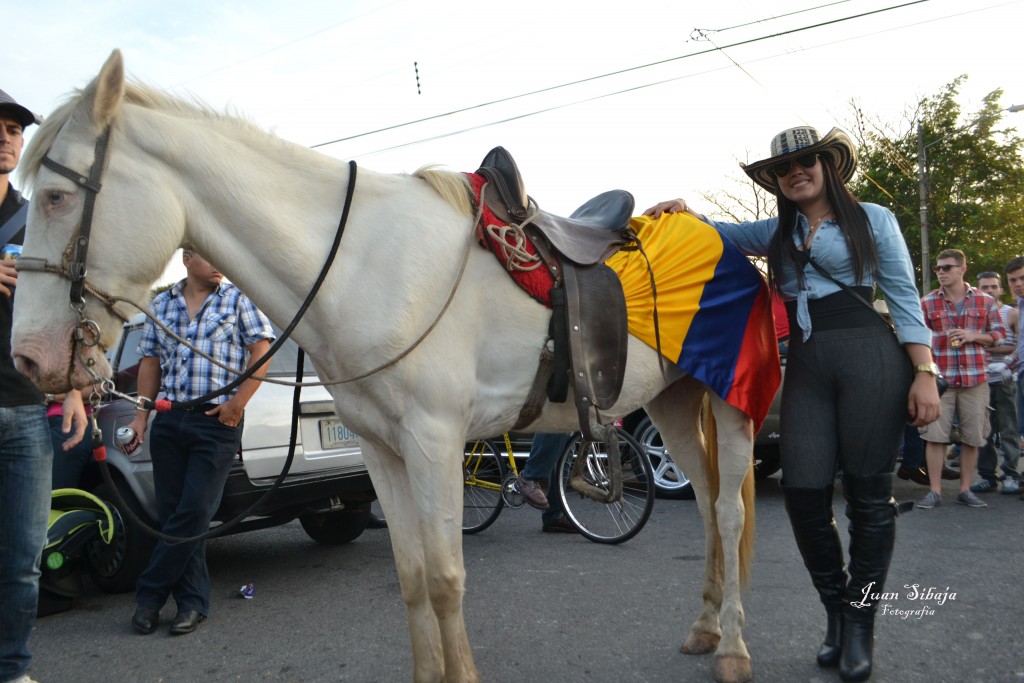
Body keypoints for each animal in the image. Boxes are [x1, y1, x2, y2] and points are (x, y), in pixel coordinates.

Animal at [9, 52, 761, 683]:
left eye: (55, 197)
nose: (30, 357)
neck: (362, 266)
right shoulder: (381, 448)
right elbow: (412, 575)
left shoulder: (434, 440)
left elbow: (446, 576)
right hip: (670, 400)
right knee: (701, 501)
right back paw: (703, 627)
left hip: (731, 403)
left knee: (726, 512)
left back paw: (732, 649)